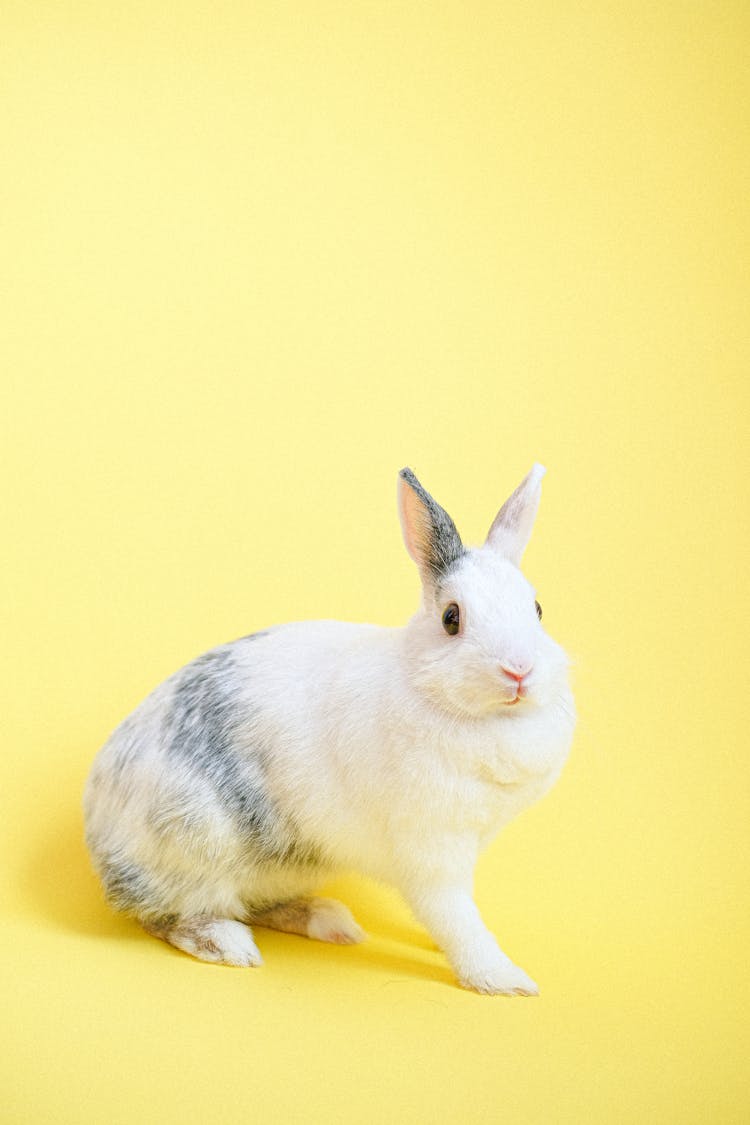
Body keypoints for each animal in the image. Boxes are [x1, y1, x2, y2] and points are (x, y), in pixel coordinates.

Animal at [83, 463, 575, 994]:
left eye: (538, 610)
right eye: (451, 618)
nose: (520, 671)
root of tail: (97, 825)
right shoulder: (431, 853)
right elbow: (456, 919)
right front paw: (504, 979)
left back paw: (328, 921)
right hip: (196, 847)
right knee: (164, 916)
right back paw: (229, 944)